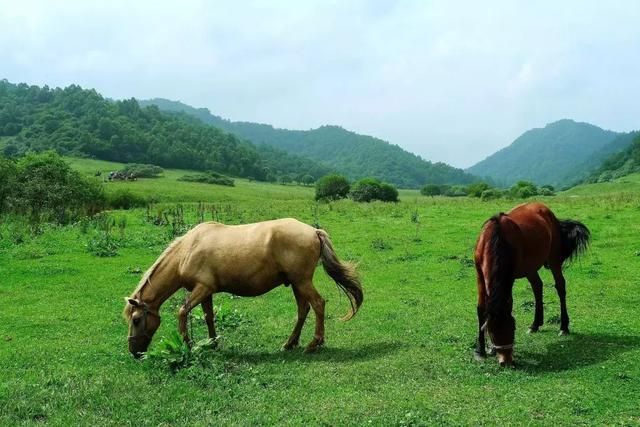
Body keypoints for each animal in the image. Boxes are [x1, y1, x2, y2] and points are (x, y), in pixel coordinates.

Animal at [122, 219, 362, 360]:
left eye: (136, 320)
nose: (134, 351)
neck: (187, 251)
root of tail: (314, 230)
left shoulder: (202, 288)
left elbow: (182, 311)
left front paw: (188, 345)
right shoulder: (206, 291)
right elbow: (208, 317)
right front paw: (213, 343)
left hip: (302, 281)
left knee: (318, 304)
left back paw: (314, 343)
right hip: (296, 283)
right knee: (303, 310)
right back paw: (290, 343)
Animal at [472, 204, 592, 368]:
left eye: (513, 327)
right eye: (492, 331)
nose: (506, 362)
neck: (496, 238)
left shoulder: (509, 277)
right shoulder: (479, 274)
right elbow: (481, 309)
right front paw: (482, 351)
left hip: (553, 260)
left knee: (560, 287)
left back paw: (563, 327)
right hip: (530, 267)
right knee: (537, 287)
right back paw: (535, 324)